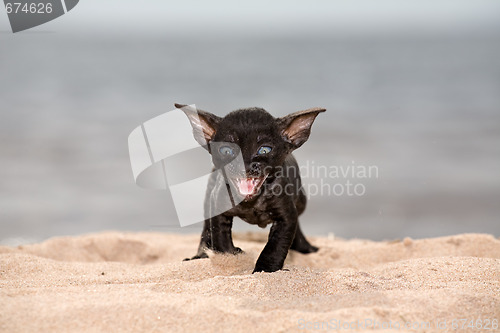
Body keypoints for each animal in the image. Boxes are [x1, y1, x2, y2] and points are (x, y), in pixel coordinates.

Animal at [178, 104, 326, 272]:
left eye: (264, 150)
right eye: (226, 150)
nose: (245, 165)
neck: (252, 202)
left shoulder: (286, 217)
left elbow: (275, 247)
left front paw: (265, 270)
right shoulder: (218, 207)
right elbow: (220, 238)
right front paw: (231, 258)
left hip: (301, 202)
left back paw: (306, 248)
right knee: (205, 230)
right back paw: (201, 255)